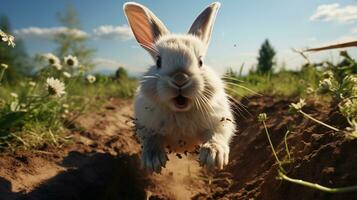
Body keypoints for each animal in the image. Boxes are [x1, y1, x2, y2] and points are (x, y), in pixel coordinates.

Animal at [124, 1, 235, 173]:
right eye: (158, 62)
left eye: (201, 61)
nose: (180, 78)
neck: (181, 112)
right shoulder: (147, 127)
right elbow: (151, 141)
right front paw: (153, 161)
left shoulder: (219, 121)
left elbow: (216, 135)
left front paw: (214, 156)